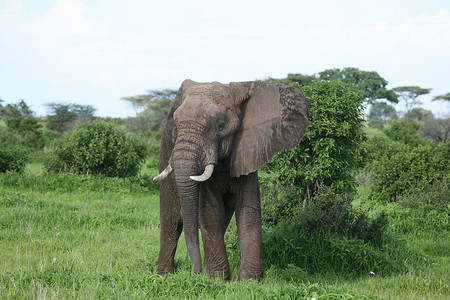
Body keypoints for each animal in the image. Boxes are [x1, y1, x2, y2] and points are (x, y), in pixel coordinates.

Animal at [154, 79, 310, 282]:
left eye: (220, 125)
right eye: (177, 124)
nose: (195, 272)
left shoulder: (248, 152)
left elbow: (248, 208)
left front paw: (248, 281)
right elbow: (209, 210)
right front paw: (219, 278)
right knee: (172, 222)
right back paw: (162, 276)